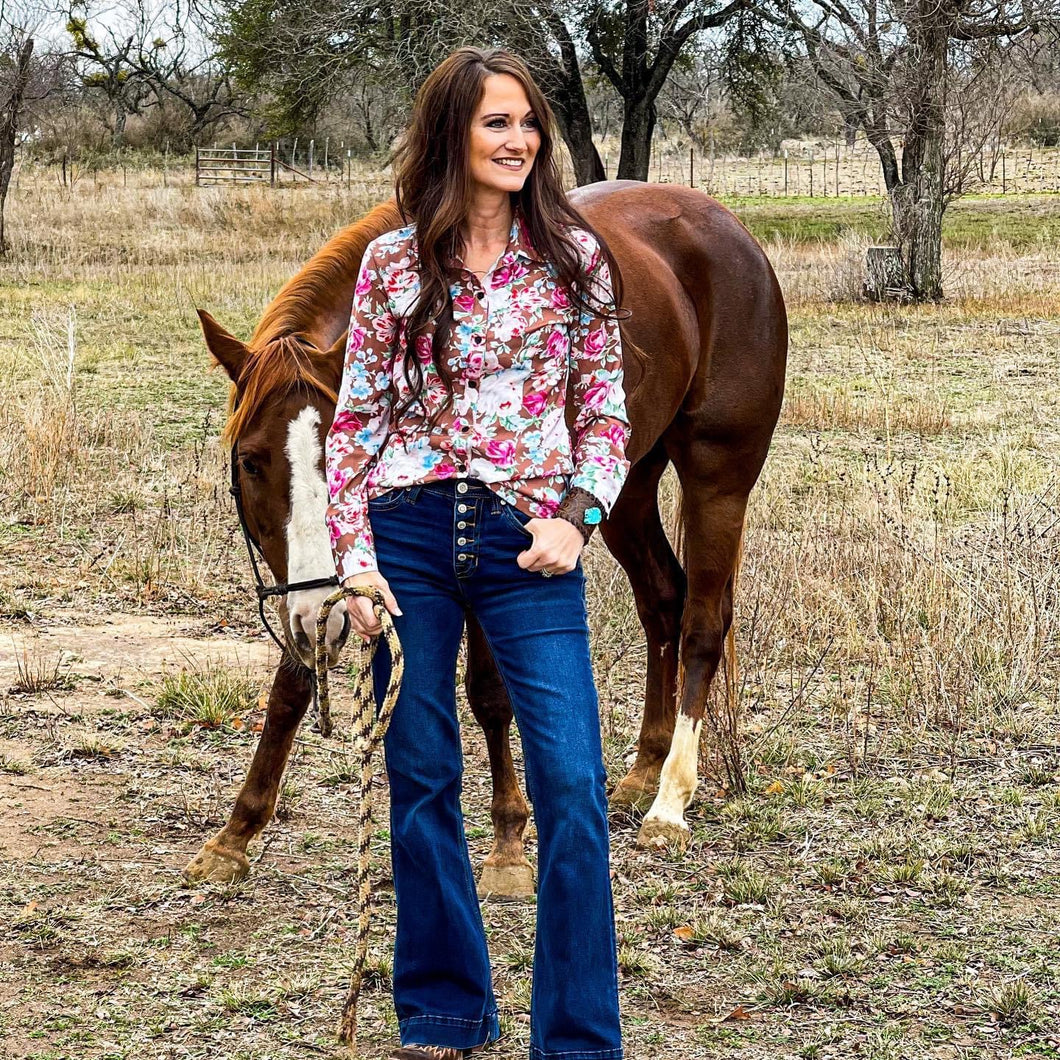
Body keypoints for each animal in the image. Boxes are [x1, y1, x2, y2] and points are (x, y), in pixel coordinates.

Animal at [184, 182, 788, 894]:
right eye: (251, 461)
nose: (317, 620)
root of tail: (728, 230)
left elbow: (489, 692)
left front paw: (507, 843)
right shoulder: (344, 577)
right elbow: (292, 684)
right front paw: (235, 834)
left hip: (717, 481)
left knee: (700, 625)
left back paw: (669, 801)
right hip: (626, 487)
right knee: (663, 601)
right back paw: (644, 770)